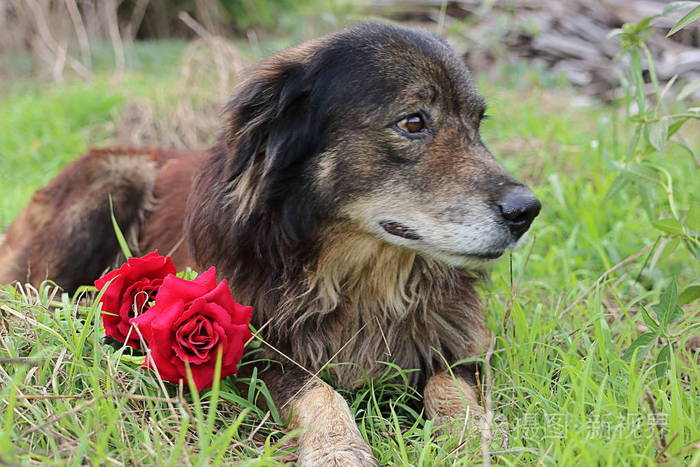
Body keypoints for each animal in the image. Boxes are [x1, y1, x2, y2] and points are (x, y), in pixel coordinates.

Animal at [0, 23, 540, 466]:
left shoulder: (452, 343)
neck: (356, 279)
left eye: (477, 123)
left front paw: (480, 440)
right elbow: (317, 391)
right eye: (412, 121)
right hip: (113, 179)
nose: (527, 211)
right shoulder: (247, 348)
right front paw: (338, 450)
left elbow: (451, 388)